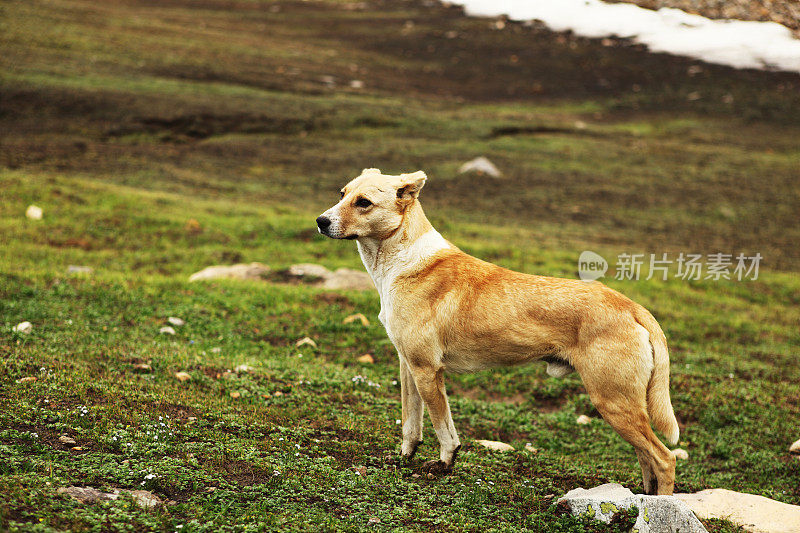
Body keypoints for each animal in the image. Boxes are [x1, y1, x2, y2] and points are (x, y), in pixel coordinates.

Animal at [316, 167, 680, 494]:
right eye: (342, 194)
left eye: (364, 202)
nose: (321, 221)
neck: (404, 260)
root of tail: (633, 307)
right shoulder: (408, 366)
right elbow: (411, 423)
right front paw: (404, 458)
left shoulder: (428, 370)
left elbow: (443, 428)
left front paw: (444, 464)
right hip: (624, 406)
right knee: (646, 458)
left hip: (613, 402)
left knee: (664, 458)